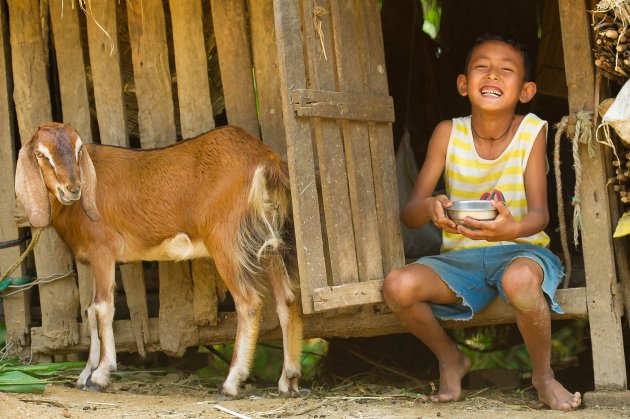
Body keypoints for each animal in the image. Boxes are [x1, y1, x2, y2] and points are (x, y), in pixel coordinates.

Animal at [13, 122, 302, 400]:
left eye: (78, 149)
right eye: (41, 154)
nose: (73, 188)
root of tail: (262, 158)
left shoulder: (103, 251)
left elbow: (103, 308)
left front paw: (100, 376)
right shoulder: (93, 260)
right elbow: (90, 311)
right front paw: (84, 375)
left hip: (226, 242)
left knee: (249, 302)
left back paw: (230, 385)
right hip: (268, 241)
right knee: (286, 300)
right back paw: (288, 382)